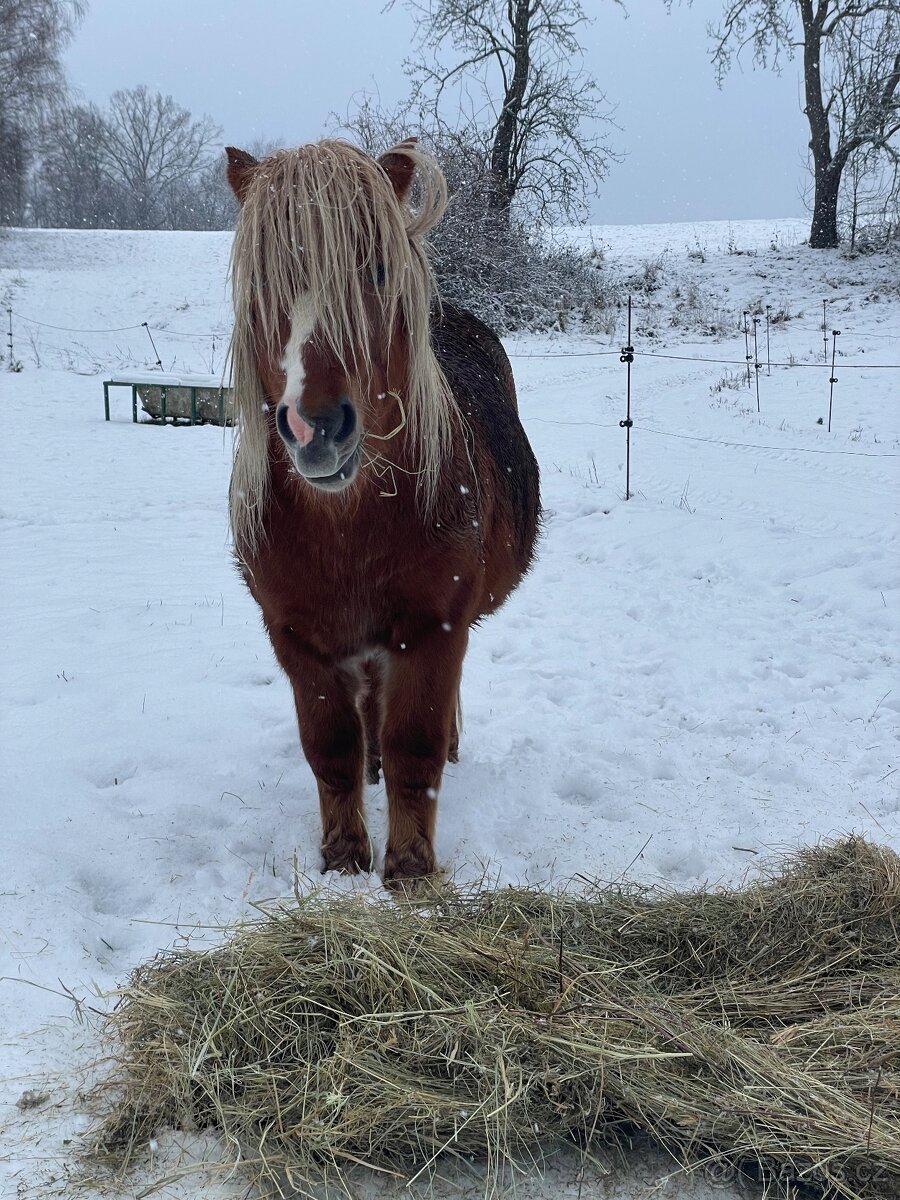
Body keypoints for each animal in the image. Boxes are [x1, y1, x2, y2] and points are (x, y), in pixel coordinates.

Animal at [225, 137, 540, 887]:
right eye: (263, 283)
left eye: (373, 269)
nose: (315, 427)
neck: (348, 527)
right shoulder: (297, 637)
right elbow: (332, 747)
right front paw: (342, 859)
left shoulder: (433, 628)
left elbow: (414, 747)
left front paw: (410, 869)